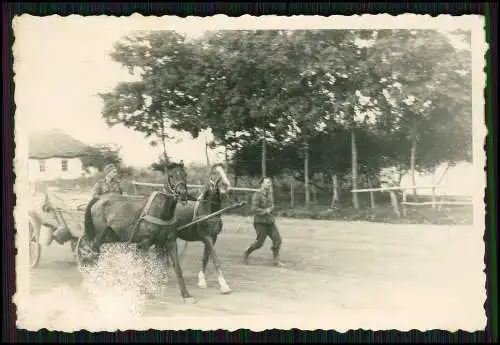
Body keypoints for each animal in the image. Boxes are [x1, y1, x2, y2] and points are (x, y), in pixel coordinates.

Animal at [81, 163, 198, 300]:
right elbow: (145, 267)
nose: (182, 193)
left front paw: (186, 294)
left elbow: (174, 267)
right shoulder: (144, 244)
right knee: (93, 255)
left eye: (185, 174)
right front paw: (144, 290)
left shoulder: (168, 242)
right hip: (99, 236)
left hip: (110, 237)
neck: (159, 210)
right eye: (171, 175)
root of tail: (99, 199)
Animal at [171, 163, 235, 292]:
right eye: (214, 173)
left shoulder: (213, 237)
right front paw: (224, 285)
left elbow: (206, 257)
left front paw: (201, 281)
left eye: (225, 172)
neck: (208, 211)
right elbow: (214, 258)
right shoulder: (206, 237)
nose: (228, 189)